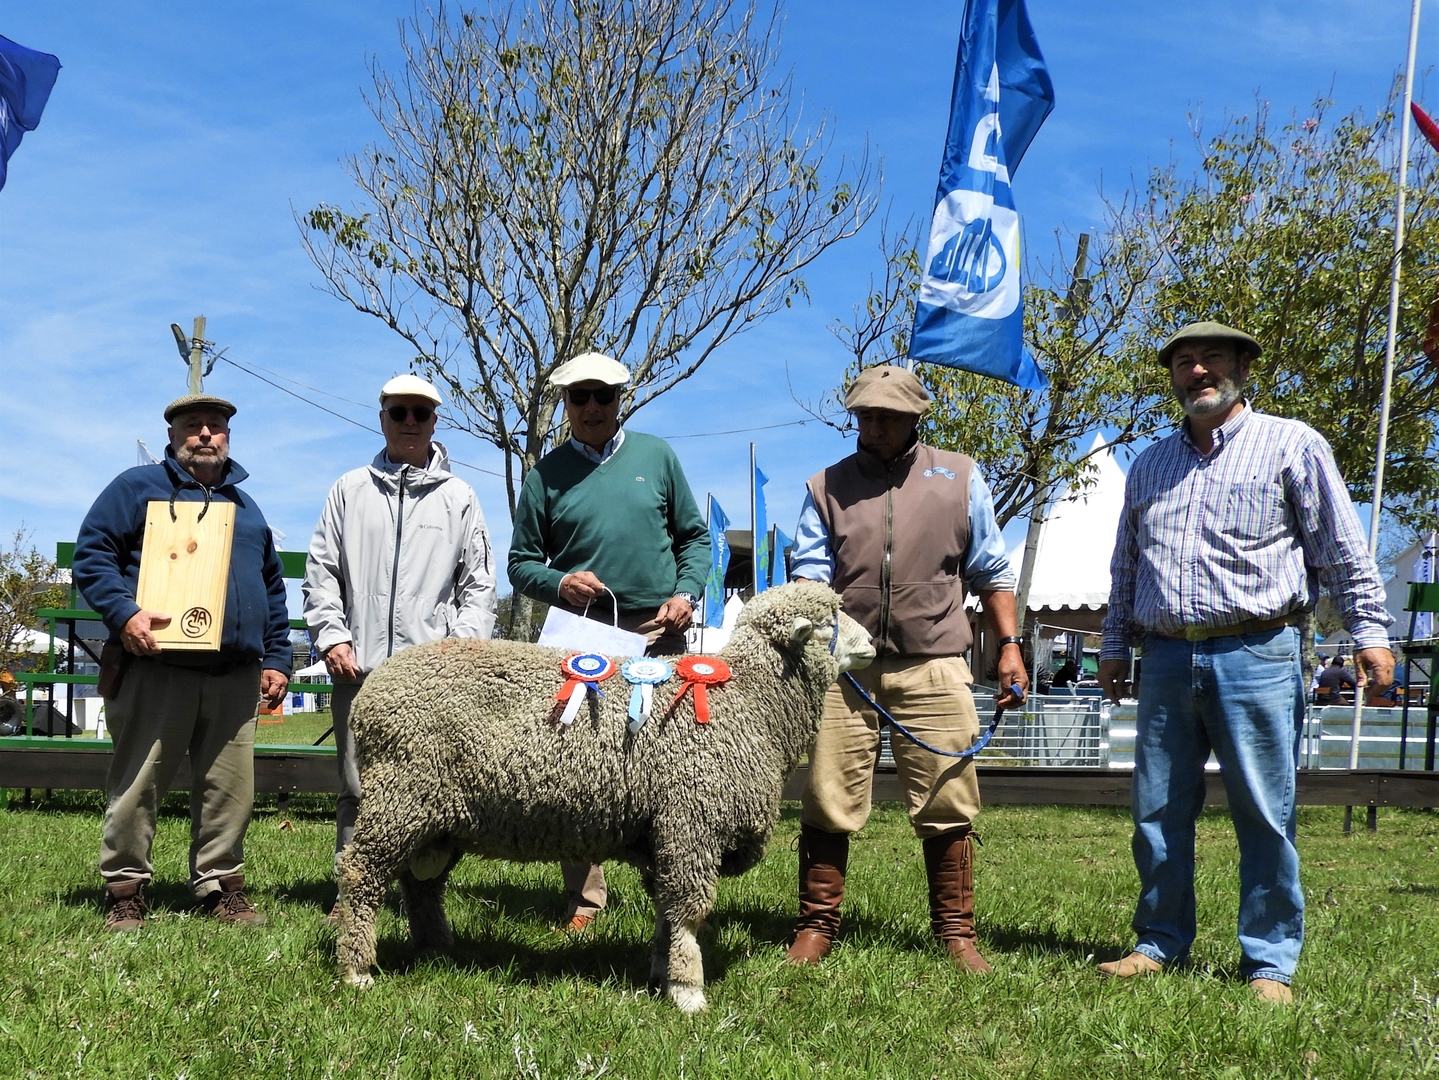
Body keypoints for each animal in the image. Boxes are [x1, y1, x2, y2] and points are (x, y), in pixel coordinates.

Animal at [333, 581, 874, 1012]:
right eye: (829, 622)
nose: (871, 642)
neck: (749, 701)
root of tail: (373, 687)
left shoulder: (664, 835)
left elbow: (666, 911)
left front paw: (660, 974)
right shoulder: (691, 823)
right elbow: (689, 911)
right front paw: (688, 991)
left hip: (436, 817)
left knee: (421, 883)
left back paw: (436, 950)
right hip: (400, 795)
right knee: (360, 874)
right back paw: (356, 970)